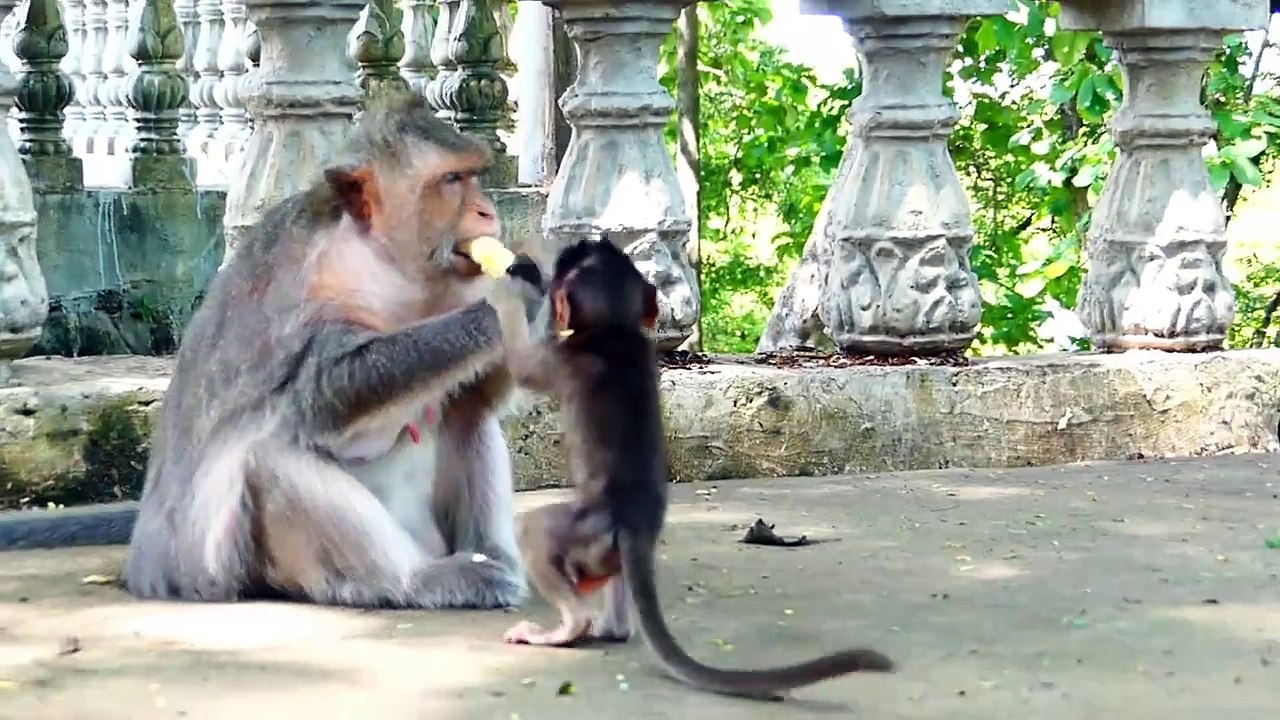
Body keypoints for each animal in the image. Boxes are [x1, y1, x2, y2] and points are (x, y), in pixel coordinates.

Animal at [0, 92, 552, 612]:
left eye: (475, 176)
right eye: (453, 180)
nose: (487, 212)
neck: (387, 262)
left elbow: (481, 395)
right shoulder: (313, 291)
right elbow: (326, 395)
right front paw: (516, 296)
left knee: (468, 414)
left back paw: (493, 559)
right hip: (231, 567)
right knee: (268, 456)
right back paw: (418, 581)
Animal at [499, 238, 896, 701]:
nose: (582, 244)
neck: (615, 329)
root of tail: (635, 527)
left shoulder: (567, 357)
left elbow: (523, 364)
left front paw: (508, 286)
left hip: (585, 530)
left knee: (534, 528)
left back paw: (567, 628)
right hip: (605, 550)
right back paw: (610, 628)